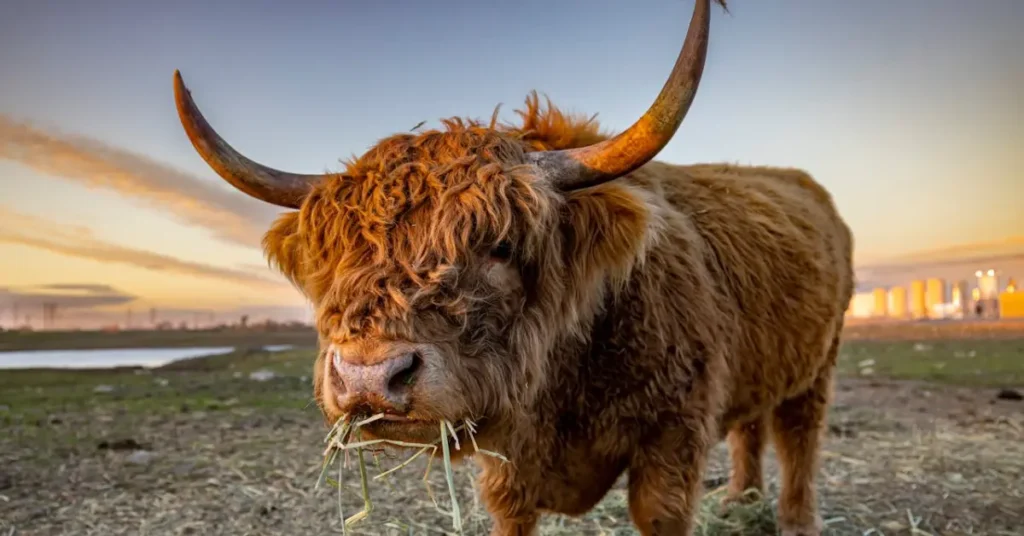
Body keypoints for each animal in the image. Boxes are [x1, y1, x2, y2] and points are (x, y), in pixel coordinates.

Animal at [170, 1, 853, 534]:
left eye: (500, 246)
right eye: (336, 255)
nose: (369, 377)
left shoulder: (672, 438)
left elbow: (660, 510)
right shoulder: (509, 469)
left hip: (819, 365)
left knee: (798, 435)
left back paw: (795, 520)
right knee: (751, 427)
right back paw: (740, 499)